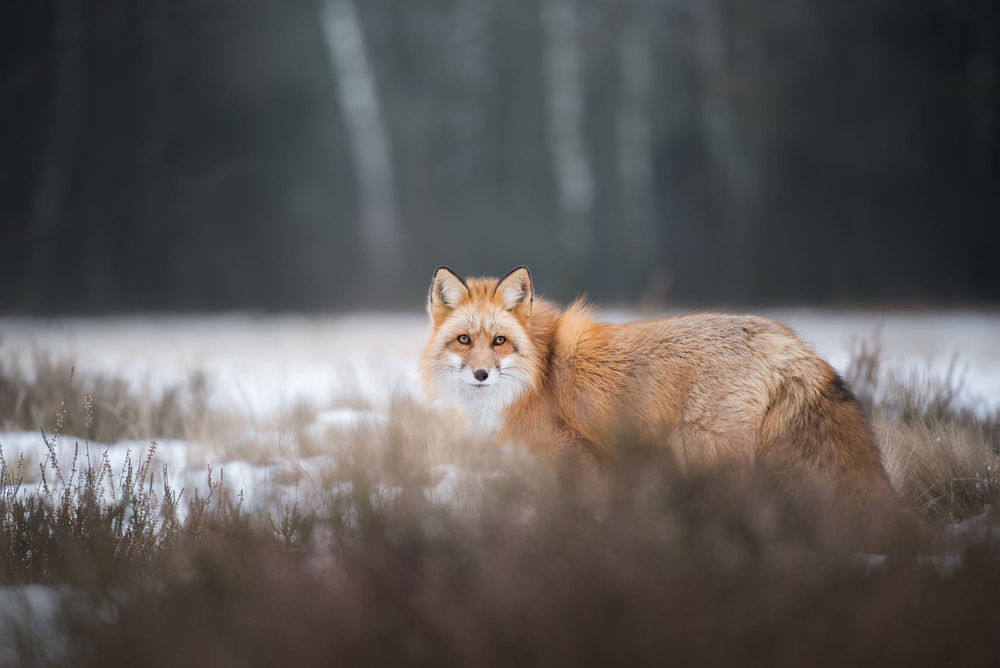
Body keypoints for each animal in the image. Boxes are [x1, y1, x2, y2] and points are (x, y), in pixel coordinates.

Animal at [418, 266, 904, 516]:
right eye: (464, 340)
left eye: (500, 341)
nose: (481, 374)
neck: (541, 369)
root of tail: (787, 341)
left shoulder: (573, 453)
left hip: (706, 454)